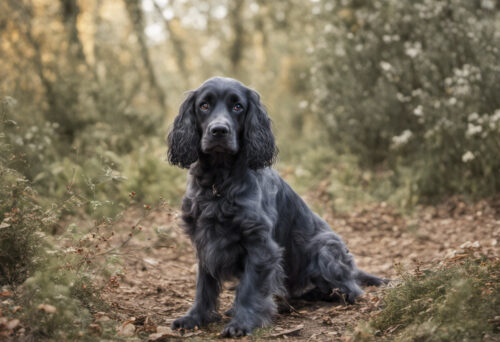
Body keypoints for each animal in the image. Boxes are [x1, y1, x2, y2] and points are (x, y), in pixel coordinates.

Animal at [168, 77, 386, 336]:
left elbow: (250, 288)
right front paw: (195, 318)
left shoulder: (260, 244)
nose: (219, 130)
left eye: (237, 107)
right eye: (204, 105)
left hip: (324, 248)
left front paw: (243, 323)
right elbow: (204, 286)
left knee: (351, 289)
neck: (219, 182)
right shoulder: (205, 240)